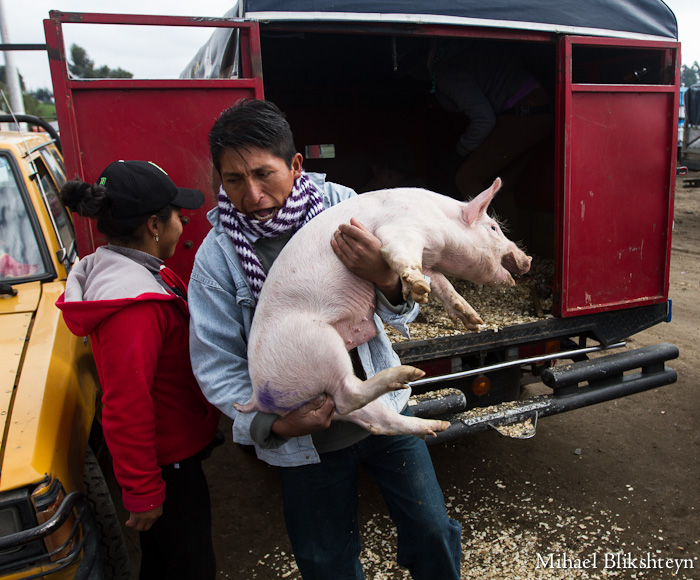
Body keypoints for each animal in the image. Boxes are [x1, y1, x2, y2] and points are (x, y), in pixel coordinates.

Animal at [234, 179, 532, 438]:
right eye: (493, 228)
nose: (527, 259)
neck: (440, 227)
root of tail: (258, 395)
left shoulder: (431, 263)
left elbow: (443, 285)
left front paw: (474, 321)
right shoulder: (399, 231)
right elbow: (403, 257)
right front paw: (418, 288)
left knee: (373, 418)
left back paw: (436, 425)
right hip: (317, 345)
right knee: (347, 395)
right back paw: (408, 375)